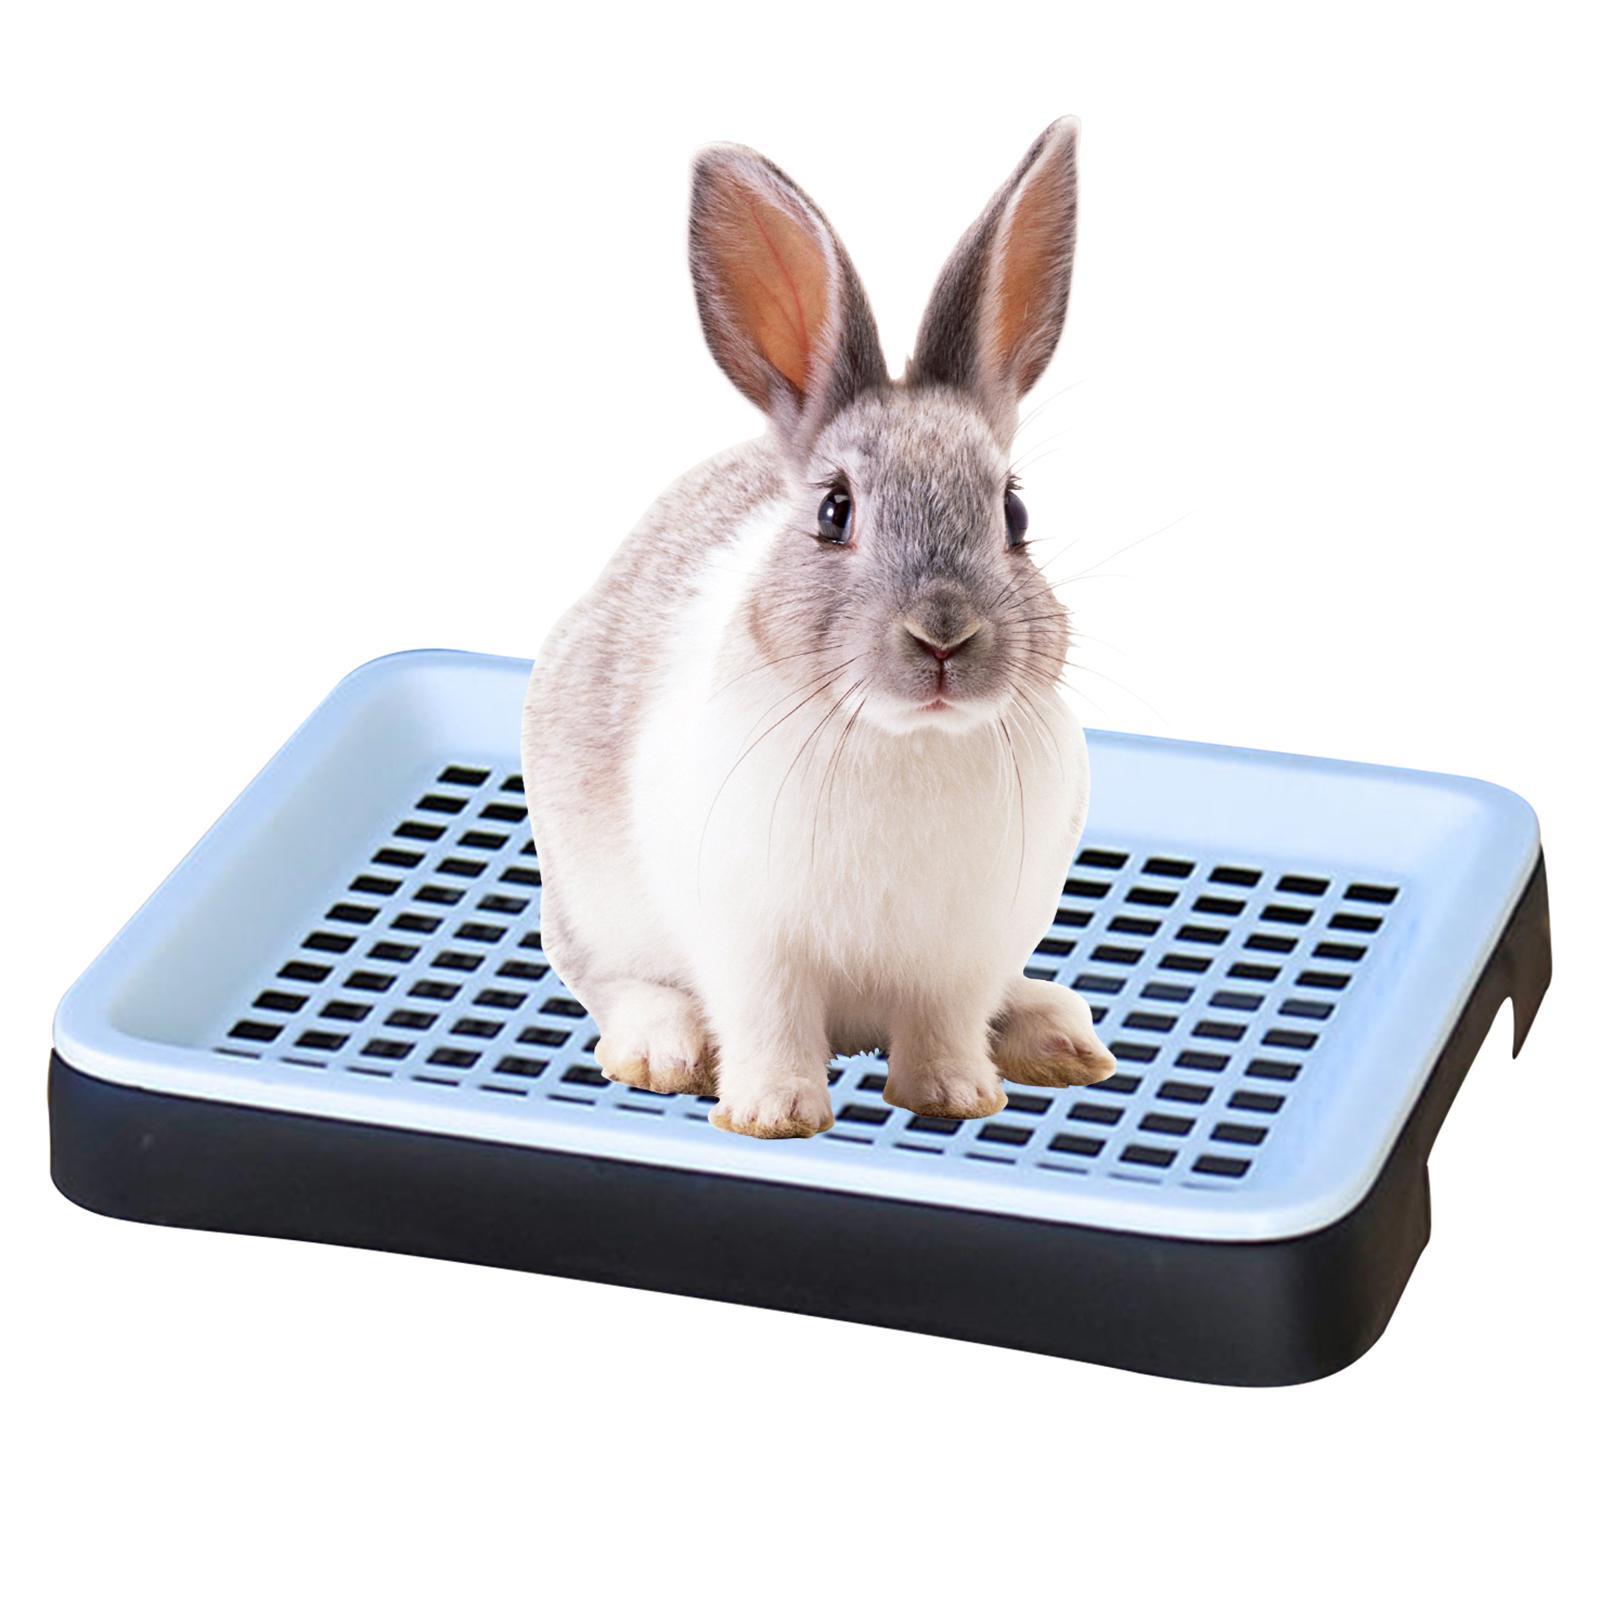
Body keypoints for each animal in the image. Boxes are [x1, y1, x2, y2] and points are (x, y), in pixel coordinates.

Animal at [522, 117, 1116, 1139]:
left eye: (1014, 514)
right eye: (836, 512)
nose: (942, 637)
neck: (904, 740)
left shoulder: (961, 954)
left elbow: (945, 1026)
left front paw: (955, 1098)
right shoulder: (752, 944)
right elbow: (769, 1024)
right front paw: (773, 1115)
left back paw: (1055, 1036)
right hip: (591, 901)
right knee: (611, 980)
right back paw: (662, 1050)